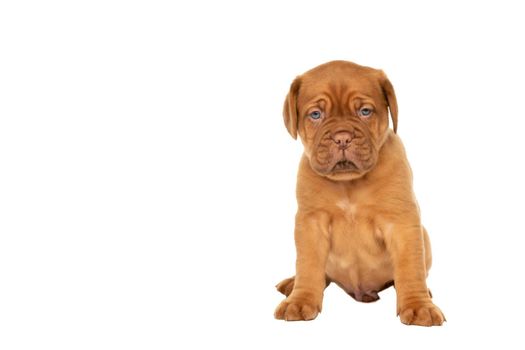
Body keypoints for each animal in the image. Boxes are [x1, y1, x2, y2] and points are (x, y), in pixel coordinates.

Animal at [272, 60, 444, 326]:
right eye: (316, 114)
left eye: (364, 111)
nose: (342, 137)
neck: (349, 184)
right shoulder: (311, 223)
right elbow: (308, 266)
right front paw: (300, 301)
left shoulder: (402, 222)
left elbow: (409, 268)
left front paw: (418, 306)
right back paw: (292, 284)